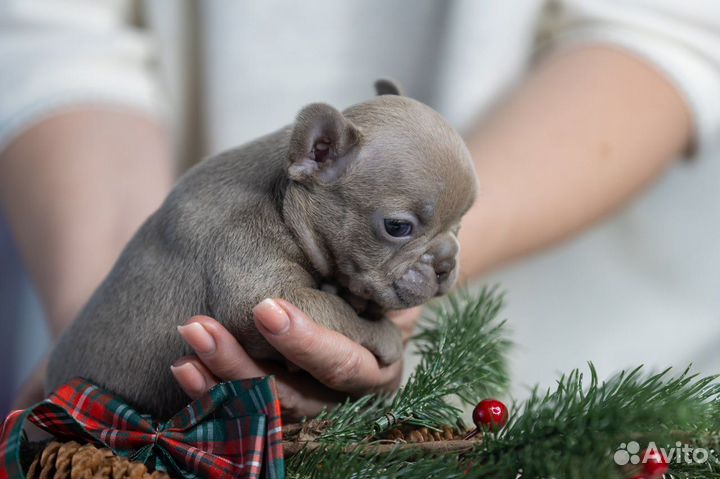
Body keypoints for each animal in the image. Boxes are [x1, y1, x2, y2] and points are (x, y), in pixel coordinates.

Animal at [45, 80, 478, 418]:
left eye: (460, 224)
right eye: (398, 227)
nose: (446, 262)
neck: (282, 196)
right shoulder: (263, 285)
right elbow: (338, 311)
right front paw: (384, 333)